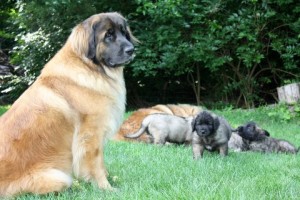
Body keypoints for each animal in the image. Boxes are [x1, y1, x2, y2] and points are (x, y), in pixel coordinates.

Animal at [0, 11, 137, 196]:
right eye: (108, 35)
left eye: (124, 32)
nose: (131, 50)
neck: (90, 67)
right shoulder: (91, 135)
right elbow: (96, 164)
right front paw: (105, 187)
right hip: (58, 178)